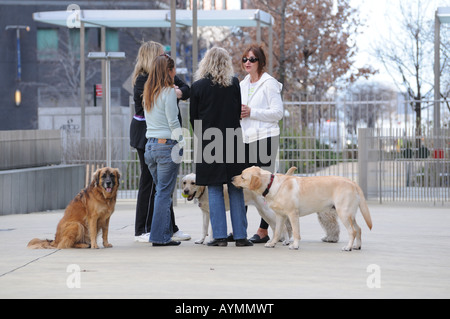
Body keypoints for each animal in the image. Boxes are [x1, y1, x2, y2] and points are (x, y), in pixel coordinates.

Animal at [232, 166, 372, 251]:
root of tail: (353, 182)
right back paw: (357, 246)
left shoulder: (292, 214)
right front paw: (272, 243)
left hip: (343, 213)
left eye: (243, 177)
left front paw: (294, 245)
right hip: (350, 214)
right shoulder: (280, 216)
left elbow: (295, 232)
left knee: (352, 231)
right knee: (358, 229)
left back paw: (348, 247)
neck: (271, 185)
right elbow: (277, 231)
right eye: (240, 173)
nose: (232, 178)